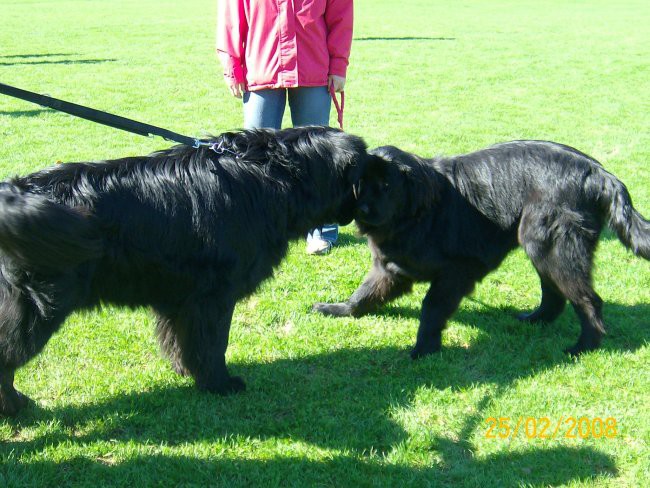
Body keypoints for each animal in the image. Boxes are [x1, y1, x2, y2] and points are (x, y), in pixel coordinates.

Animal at [0, 126, 364, 416]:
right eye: (365, 170)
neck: (271, 175)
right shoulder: (213, 295)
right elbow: (214, 342)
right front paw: (218, 383)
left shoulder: (180, 297)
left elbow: (181, 339)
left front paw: (186, 370)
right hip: (37, 306)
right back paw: (14, 407)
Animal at [312, 141, 644, 358]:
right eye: (361, 184)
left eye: (386, 185)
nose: (364, 210)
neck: (417, 214)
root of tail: (599, 172)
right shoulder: (389, 269)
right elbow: (363, 294)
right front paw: (337, 309)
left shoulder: (457, 271)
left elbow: (431, 307)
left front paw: (424, 348)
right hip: (541, 246)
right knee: (555, 294)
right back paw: (536, 320)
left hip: (550, 245)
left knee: (588, 300)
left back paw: (583, 347)